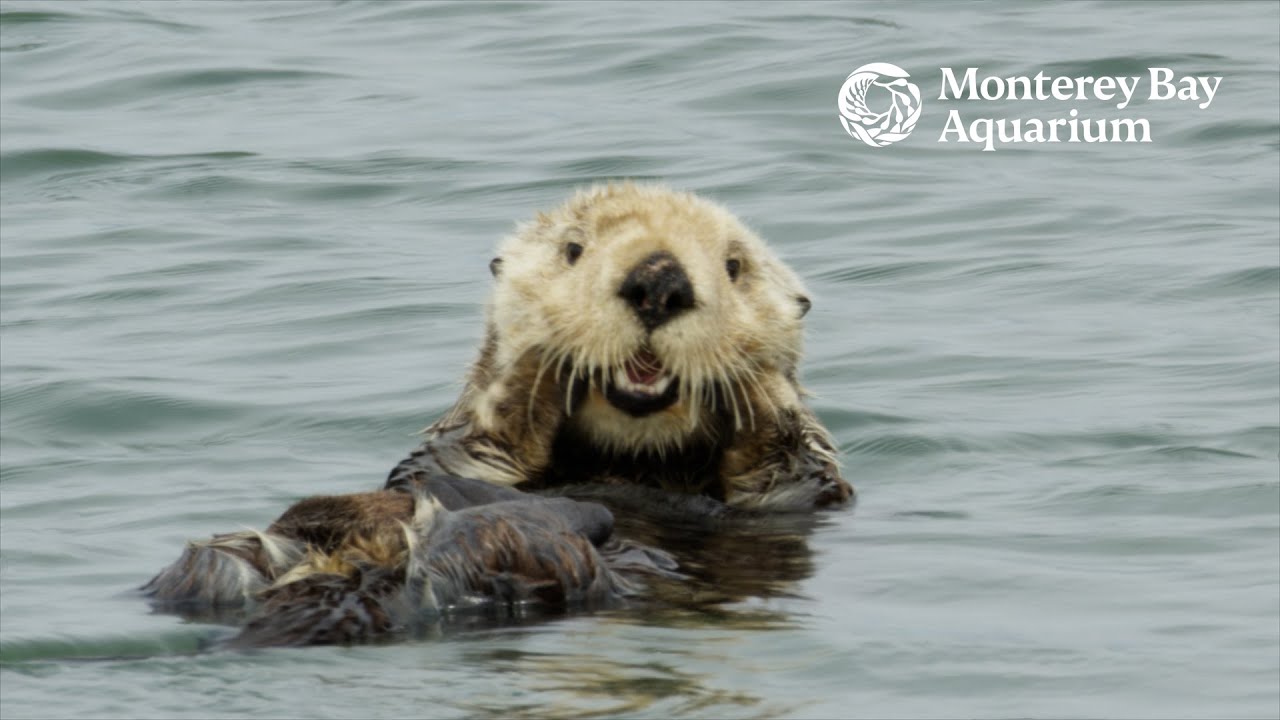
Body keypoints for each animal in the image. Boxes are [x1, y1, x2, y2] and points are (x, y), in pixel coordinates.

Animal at [143, 183, 852, 647]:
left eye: (735, 267)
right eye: (573, 249)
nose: (659, 280)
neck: (631, 465)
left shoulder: (799, 505)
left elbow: (790, 470)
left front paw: (761, 385)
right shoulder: (454, 448)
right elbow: (464, 447)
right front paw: (532, 362)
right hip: (219, 565)